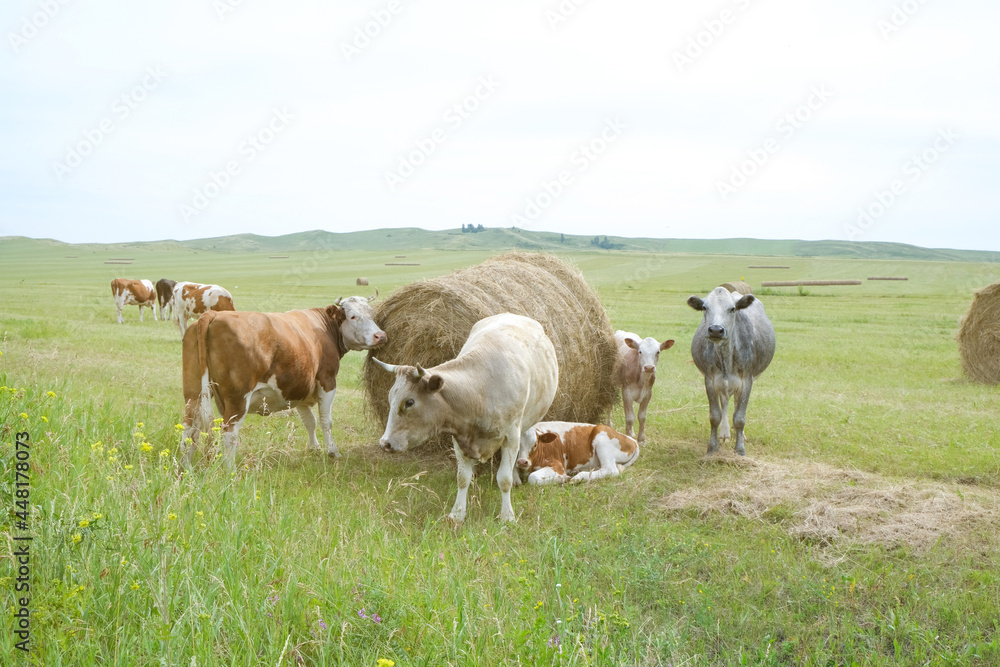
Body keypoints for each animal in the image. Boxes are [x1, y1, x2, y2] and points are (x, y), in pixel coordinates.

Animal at [182, 292, 384, 470]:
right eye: (352, 316)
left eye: (372, 314)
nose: (380, 336)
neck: (324, 328)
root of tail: (213, 314)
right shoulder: (328, 381)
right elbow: (326, 421)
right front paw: (332, 452)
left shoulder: (300, 389)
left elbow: (310, 421)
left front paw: (314, 448)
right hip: (237, 399)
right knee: (228, 434)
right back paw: (230, 471)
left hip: (193, 394)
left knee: (189, 429)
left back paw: (186, 468)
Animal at [376, 316, 564, 524]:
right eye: (390, 398)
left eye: (409, 402)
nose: (385, 443)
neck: (480, 391)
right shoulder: (459, 438)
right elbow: (462, 478)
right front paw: (457, 513)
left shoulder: (511, 435)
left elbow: (504, 479)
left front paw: (507, 515)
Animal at [684, 284, 776, 456]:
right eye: (704, 307)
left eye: (732, 308)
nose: (715, 330)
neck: (726, 358)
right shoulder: (710, 380)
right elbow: (715, 416)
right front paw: (712, 448)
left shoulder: (747, 380)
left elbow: (739, 417)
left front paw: (740, 449)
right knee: (725, 402)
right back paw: (725, 433)